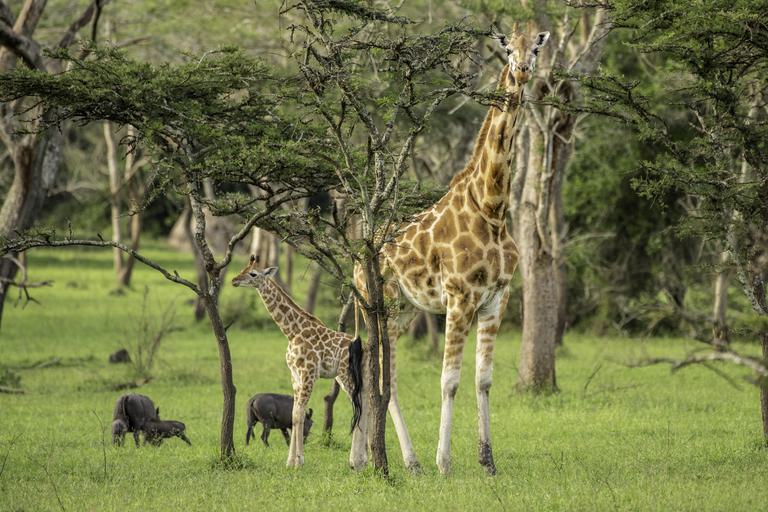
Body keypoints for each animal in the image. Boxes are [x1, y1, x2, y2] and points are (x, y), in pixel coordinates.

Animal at [232, 255, 368, 469]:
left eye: (253, 274)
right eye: (242, 269)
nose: (234, 280)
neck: (292, 331)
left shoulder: (309, 373)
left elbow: (299, 414)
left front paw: (299, 461)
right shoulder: (294, 374)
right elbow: (296, 414)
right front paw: (291, 461)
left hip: (347, 375)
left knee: (361, 404)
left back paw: (358, 460)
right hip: (350, 376)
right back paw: (366, 457)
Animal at [354, 25, 551, 475]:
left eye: (536, 48)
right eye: (507, 48)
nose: (523, 70)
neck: (492, 207)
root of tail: (357, 253)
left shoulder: (497, 297)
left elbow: (483, 379)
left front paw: (488, 462)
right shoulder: (460, 298)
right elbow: (449, 381)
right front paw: (444, 462)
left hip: (404, 311)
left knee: (372, 374)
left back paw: (367, 459)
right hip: (378, 303)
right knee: (378, 377)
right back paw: (406, 461)